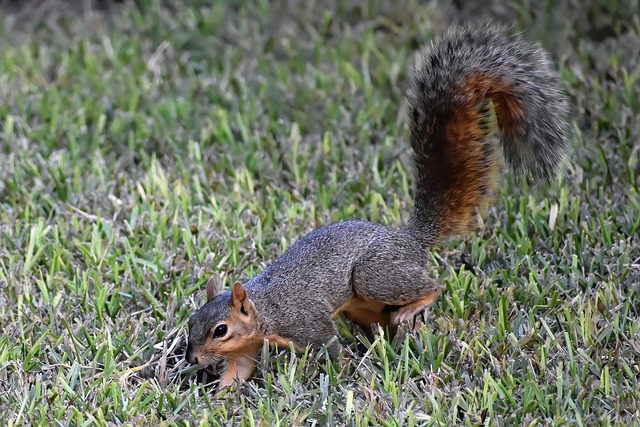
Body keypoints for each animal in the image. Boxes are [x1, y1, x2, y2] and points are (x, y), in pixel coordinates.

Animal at [184, 23, 568, 392]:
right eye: (191, 321)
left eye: (220, 330)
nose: (191, 359)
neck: (264, 308)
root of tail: (409, 240)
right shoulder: (247, 349)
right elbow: (238, 371)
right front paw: (220, 398)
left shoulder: (306, 321)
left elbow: (330, 347)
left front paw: (340, 376)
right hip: (363, 303)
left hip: (376, 275)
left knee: (431, 287)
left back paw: (409, 315)